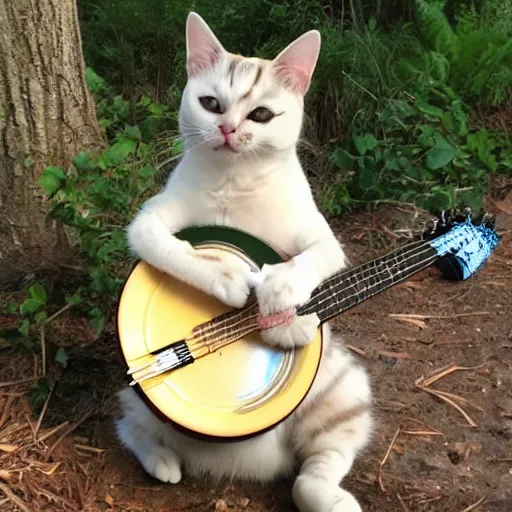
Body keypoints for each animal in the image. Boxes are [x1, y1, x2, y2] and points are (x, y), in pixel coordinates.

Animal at [115, 12, 372, 512]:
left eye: (261, 115)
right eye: (212, 104)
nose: (228, 129)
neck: (234, 183)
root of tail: (241, 463)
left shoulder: (325, 240)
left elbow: (307, 263)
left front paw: (282, 301)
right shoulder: (147, 221)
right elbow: (170, 249)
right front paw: (225, 275)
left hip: (344, 389)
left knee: (316, 469)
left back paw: (333, 499)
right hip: (137, 393)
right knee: (131, 427)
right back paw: (163, 461)